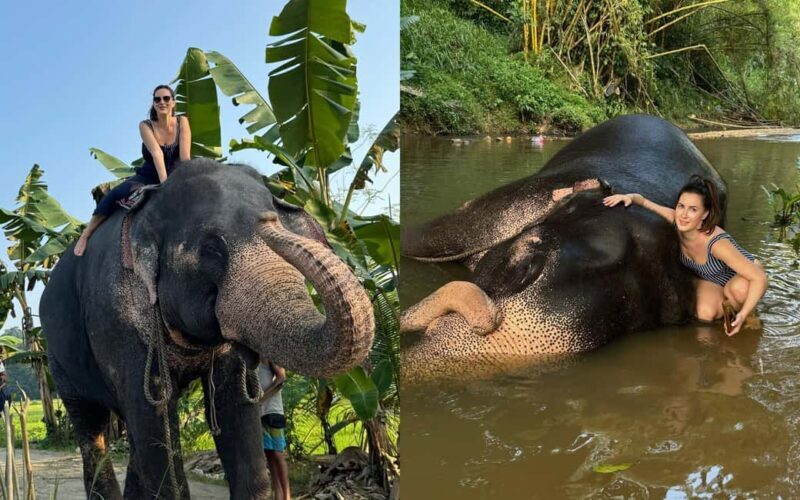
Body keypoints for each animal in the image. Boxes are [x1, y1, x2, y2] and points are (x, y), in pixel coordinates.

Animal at [40, 158, 375, 499]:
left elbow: (235, 405)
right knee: (91, 426)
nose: (269, 218)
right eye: (211, 249)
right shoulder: (117, 321)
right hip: (57, 357)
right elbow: (153, 411)